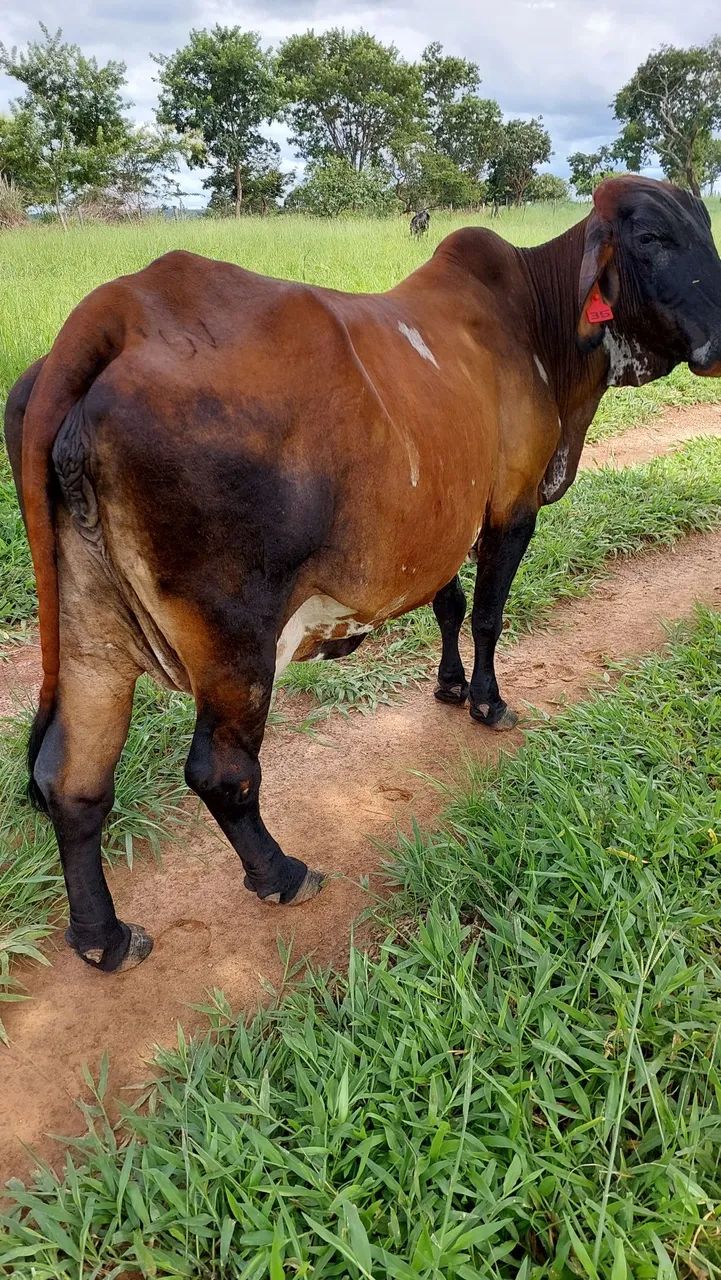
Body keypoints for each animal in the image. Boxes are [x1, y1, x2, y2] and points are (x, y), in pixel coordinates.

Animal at [5, 176, 721, 974]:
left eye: (704, 230)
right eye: (651, 239)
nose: (720, 343)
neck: (539, 324)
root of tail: (116, 310)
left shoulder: (445, 520)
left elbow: (449, 603)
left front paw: (448, 687)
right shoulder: (510, 505)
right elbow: (487, 613)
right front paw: (486, 701)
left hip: (89, 632)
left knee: (72, 781)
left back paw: (103, 936)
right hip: (233, 640)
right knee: (220, 770)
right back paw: (280, 874)